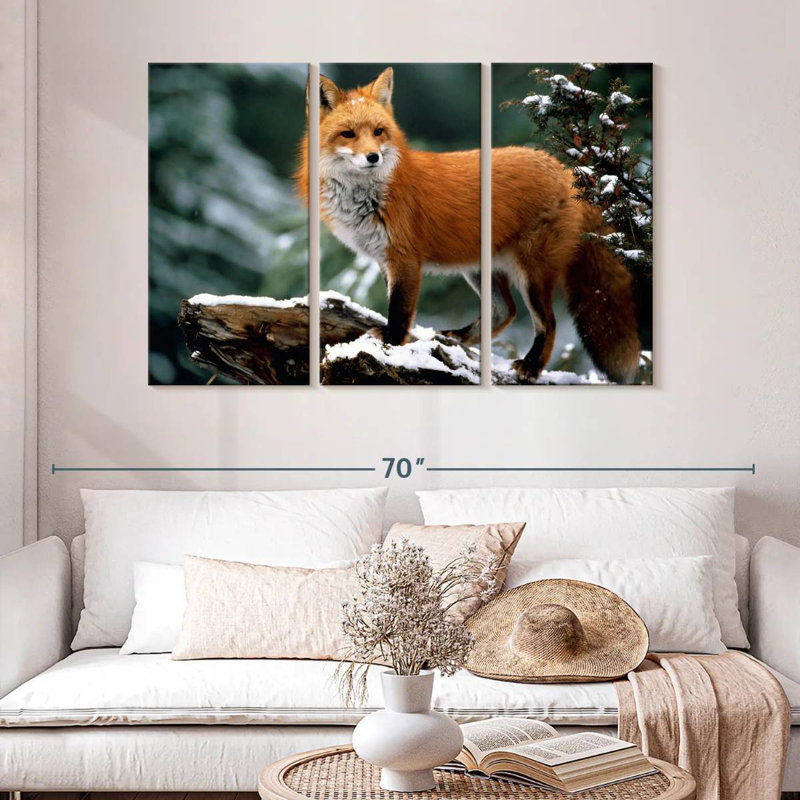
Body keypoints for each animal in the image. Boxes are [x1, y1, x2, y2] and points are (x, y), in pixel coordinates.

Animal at [296, 67, 641, 383]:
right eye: (348, 134)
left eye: (379, 131)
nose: (373, 157)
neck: (368, 196)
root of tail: (567, 171)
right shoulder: (384, 258)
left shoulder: (405, 258)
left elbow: (400, 313)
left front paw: (391, 348)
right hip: (479, 267)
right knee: (505, 311)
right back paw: (459, 338)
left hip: (532, 272)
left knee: (549, 322)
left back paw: (531, 366)